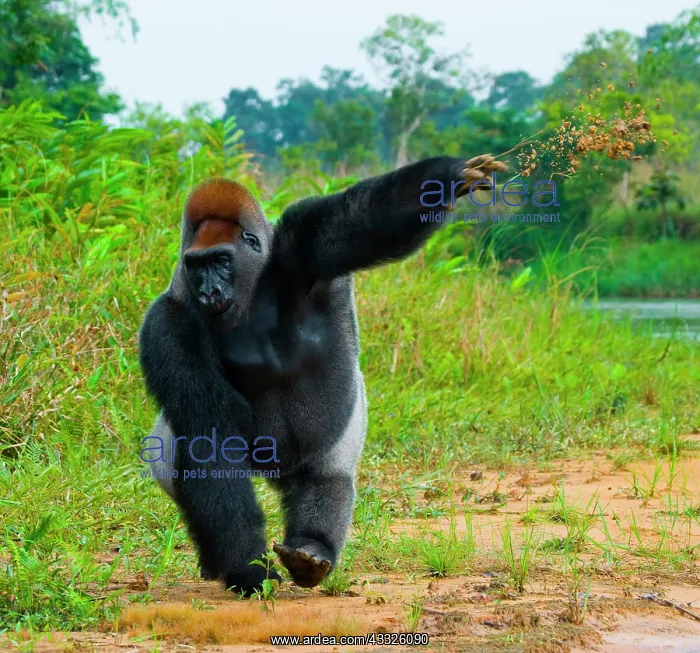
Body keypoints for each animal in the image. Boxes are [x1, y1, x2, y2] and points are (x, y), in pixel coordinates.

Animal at [138, 154, 507, 594]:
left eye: (221, 261)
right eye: (196, 266)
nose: (209, 291)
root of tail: (277, 473)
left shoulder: (300, 244)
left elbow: (361, 221)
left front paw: (448, 178)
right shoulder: (165, 324)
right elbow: (207, 438)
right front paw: (247, 567)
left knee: (328, 477)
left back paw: (314, 547)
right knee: (171, 456)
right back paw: (220, 561)